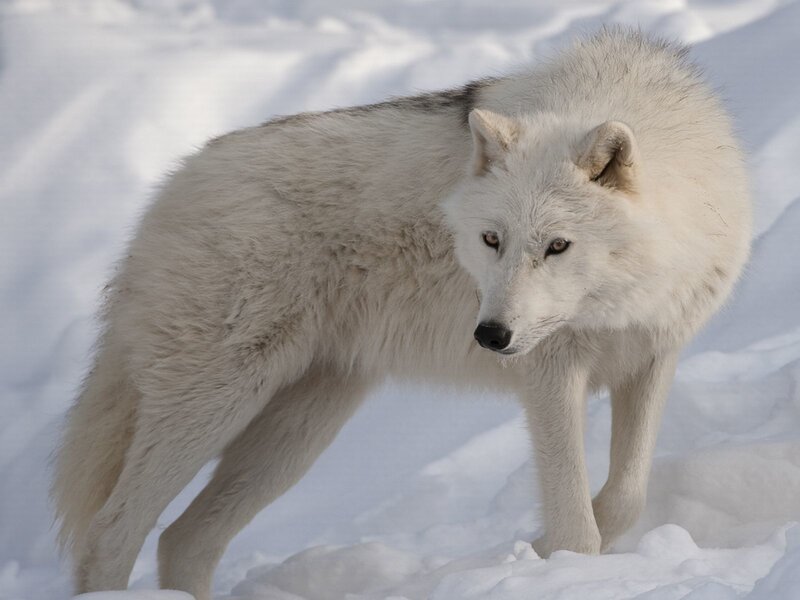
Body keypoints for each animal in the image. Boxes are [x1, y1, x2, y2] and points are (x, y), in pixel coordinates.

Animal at [52, 29, 751, 599]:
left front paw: (552, 550)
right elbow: (576, 523)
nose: (490, 335)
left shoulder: (653, 357)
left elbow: (626, 499)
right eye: (491, 240)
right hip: (216, 405)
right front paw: (559, 562)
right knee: (112, 532)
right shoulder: (550, 377)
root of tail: (169, 188)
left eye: (558, 246)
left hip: (299, 429)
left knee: (185, 539)